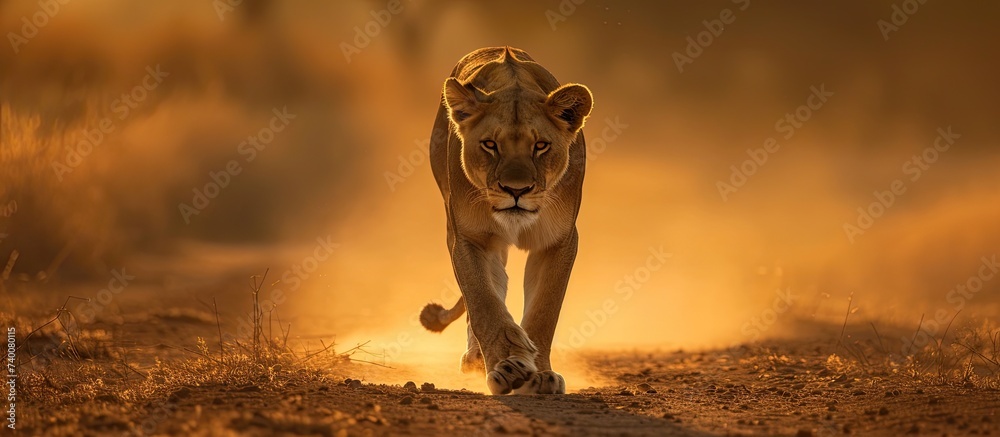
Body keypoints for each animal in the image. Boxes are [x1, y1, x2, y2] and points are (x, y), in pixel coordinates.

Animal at [418, 47, 593, 395]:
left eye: (541, 145)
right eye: (490, 144)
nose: (516, 190)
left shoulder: (559, 240)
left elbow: (544, 311)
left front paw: (541, 375)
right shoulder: (469, 238)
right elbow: (484, 302)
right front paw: (508, 368)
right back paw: (477, 358)